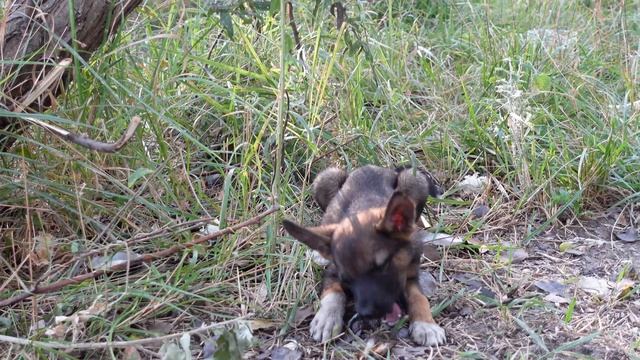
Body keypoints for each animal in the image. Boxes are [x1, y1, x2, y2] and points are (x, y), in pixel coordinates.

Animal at [282, 165, 448, 346]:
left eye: (383, 266)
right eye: (346, 279)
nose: (365, 314)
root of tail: (371, 167)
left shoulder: (412, 274)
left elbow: (419, 297)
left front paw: (426, 325)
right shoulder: (333, 271)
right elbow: (333, 292)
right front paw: (327, 319)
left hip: (413, 178)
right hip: (326, 178)